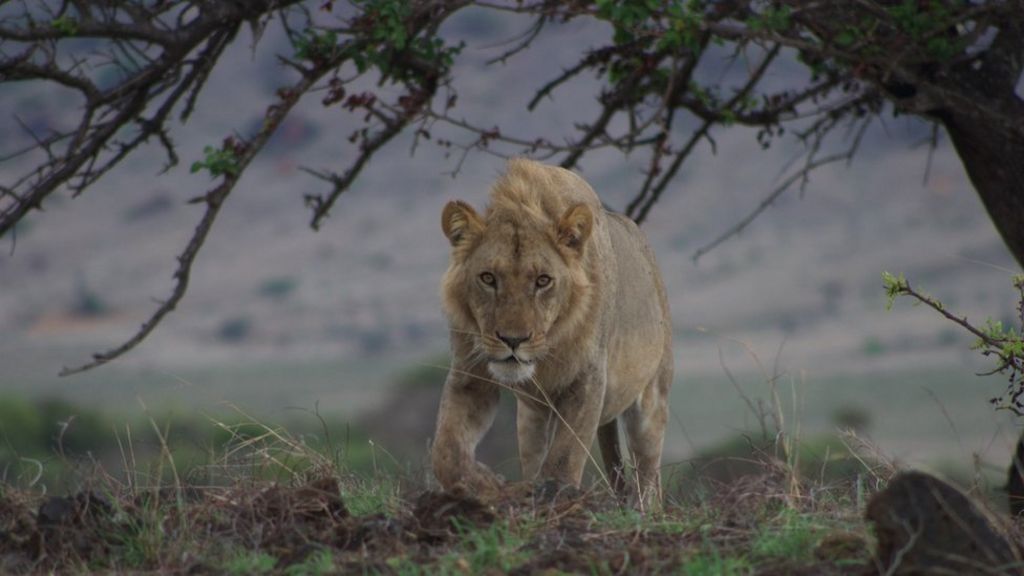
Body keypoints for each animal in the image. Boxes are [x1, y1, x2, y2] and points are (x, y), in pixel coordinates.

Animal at [431, 158, 673, 507]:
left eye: (543, 280)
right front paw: (485, 485)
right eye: (488, 278)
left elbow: (565, 456)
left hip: (651, 401)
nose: (513, 340)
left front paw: (554, 495)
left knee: (648, 480)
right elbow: (446, 449)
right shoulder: (470, 373)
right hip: (530, 418)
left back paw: (643, 509)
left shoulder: (587, 378)